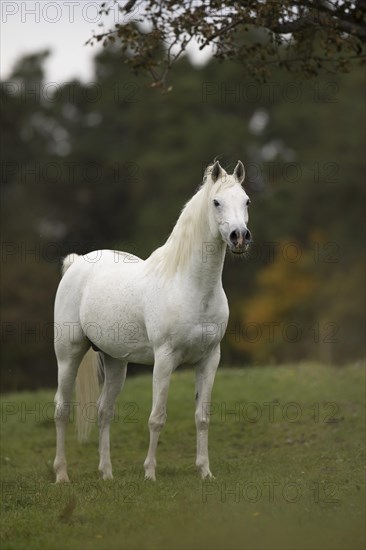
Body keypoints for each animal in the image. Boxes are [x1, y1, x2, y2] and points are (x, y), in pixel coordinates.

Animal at [53, 160, 250, 484]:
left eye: (246, 201)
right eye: (216, 202)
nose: (240, 237)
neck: (190, 285)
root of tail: (76, 262)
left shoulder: (210, 359)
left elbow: (202, 417)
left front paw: (205, 471)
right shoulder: (164, 358)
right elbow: (157, 418)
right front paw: (150, 473)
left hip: (115, 361)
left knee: (104, 412)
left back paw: (107, 473)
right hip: (68, 354)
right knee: (61, 409)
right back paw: (61, 475)